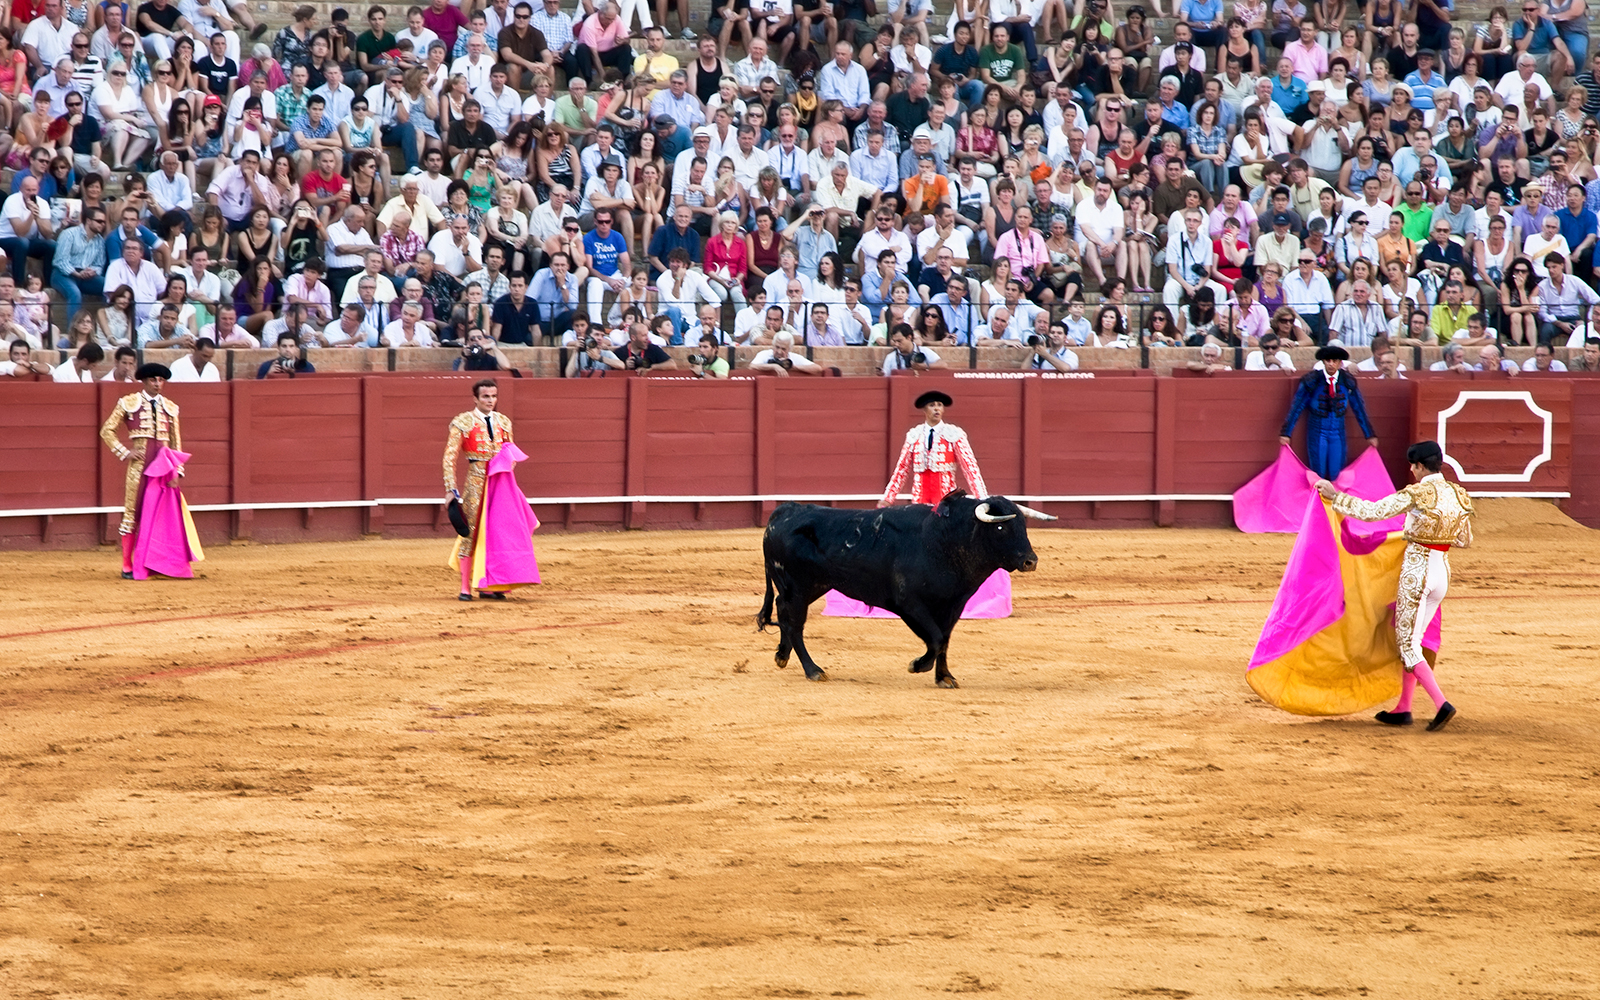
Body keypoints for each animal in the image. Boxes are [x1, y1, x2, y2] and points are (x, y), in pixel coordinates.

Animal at [758, 492, 1049, 684]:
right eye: (1000, 527)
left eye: (1023, 525)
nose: (1030, 561)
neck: (943, 540)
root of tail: (784, 511)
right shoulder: (908, 603)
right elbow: (935, 639)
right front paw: (918, 665)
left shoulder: (953, 605)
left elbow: (944, 639)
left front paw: (945, 677)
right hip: (797, 587)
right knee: (795, 624)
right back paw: (813, 670)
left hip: (809, 587)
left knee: (783, 612)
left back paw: (782, 656)